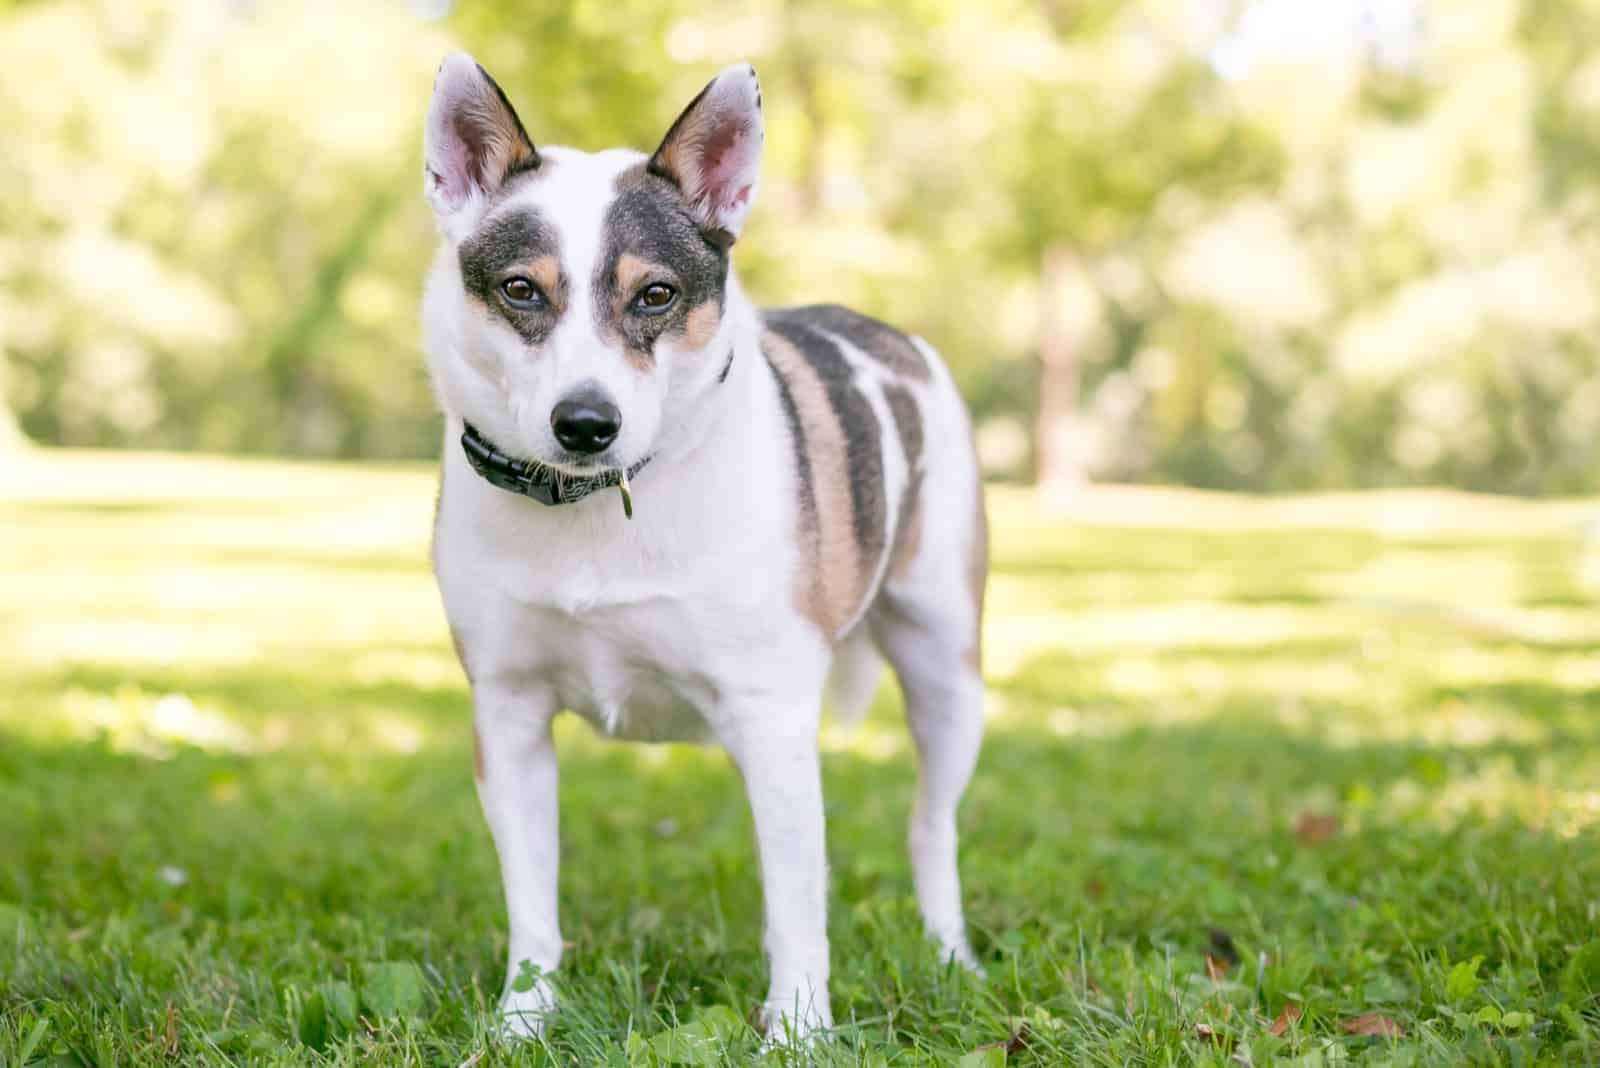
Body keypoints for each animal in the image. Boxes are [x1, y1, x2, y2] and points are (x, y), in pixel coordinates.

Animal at [419, 51, 979, 1042]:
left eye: (656, 294)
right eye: (522, 289)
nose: (586, 423)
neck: (599, 502)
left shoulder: (771, 716)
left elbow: (795, 907)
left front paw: (798, 1033)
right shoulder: (508, 715)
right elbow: (532, 903)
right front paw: (524, 1020)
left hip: (948, 672)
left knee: (929, 827)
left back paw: (950, 954)